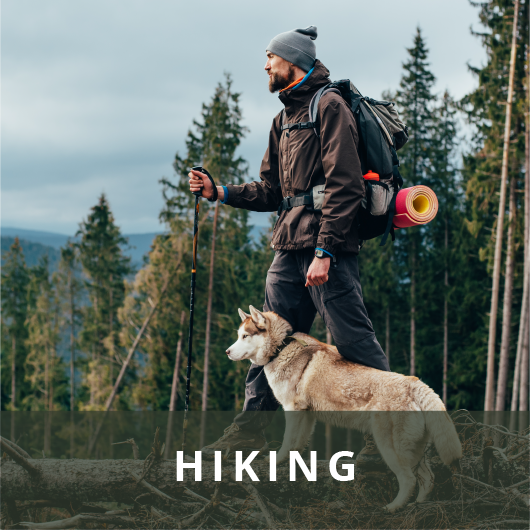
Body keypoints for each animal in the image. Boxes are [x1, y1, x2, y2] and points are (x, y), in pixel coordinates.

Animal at [225, 306, 460, 512]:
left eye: (245, 336)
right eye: (237, 336)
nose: (227, 351)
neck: (281, 348)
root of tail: (415, 383)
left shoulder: (293, 410)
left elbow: (287, 442)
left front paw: (279, 460)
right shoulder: (306, 415)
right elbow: (298, 443)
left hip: (391, 448)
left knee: (408, 480)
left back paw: (393, 508)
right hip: (414, 451)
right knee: (428, 479)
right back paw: (417, 505)